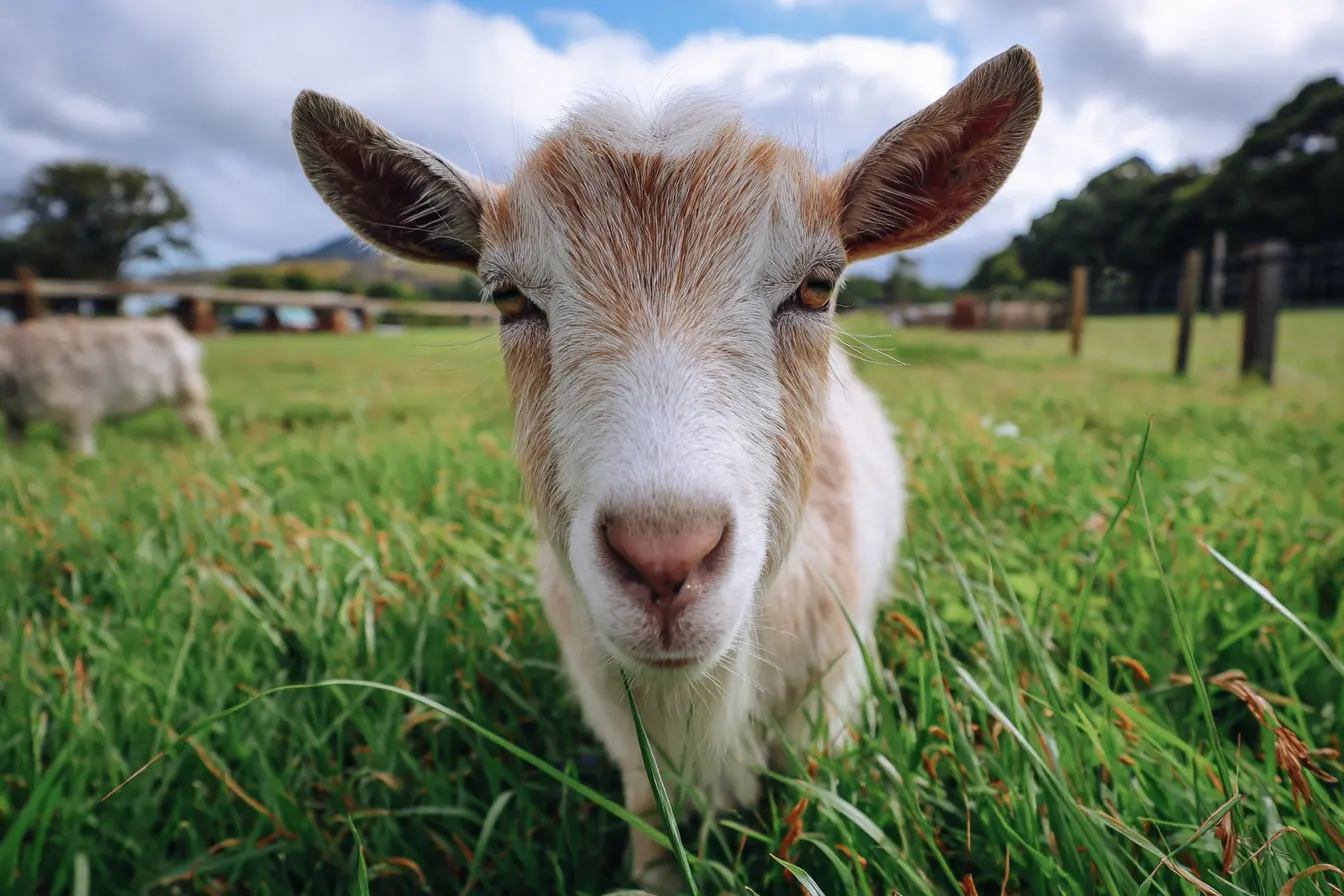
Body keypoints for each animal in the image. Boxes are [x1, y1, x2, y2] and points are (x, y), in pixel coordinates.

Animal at [0, 316, 219, 456]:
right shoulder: (16, 415)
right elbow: (15, 440)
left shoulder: (77, 410)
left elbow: (80, 443)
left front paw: (84, 460)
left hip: (188, 393)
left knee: (202, 419)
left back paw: (209, 444)